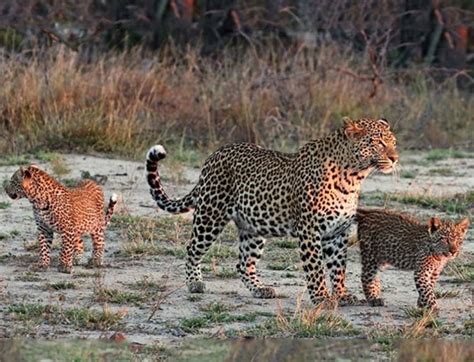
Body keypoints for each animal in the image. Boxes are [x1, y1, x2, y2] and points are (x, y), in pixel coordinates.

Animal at [146, 117, 398, 304]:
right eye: (377, 142)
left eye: (393, 142)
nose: (395, 158)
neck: (354, 177)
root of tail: (214, 155)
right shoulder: (310, 230)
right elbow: (316, 267)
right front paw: (322, 298)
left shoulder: (337, 232)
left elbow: (338, 267)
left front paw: (342, 295)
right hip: (210, 215)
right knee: (192, 248)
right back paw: (194, 283)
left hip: (254, 227)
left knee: (243, 263)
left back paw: (260, 289)